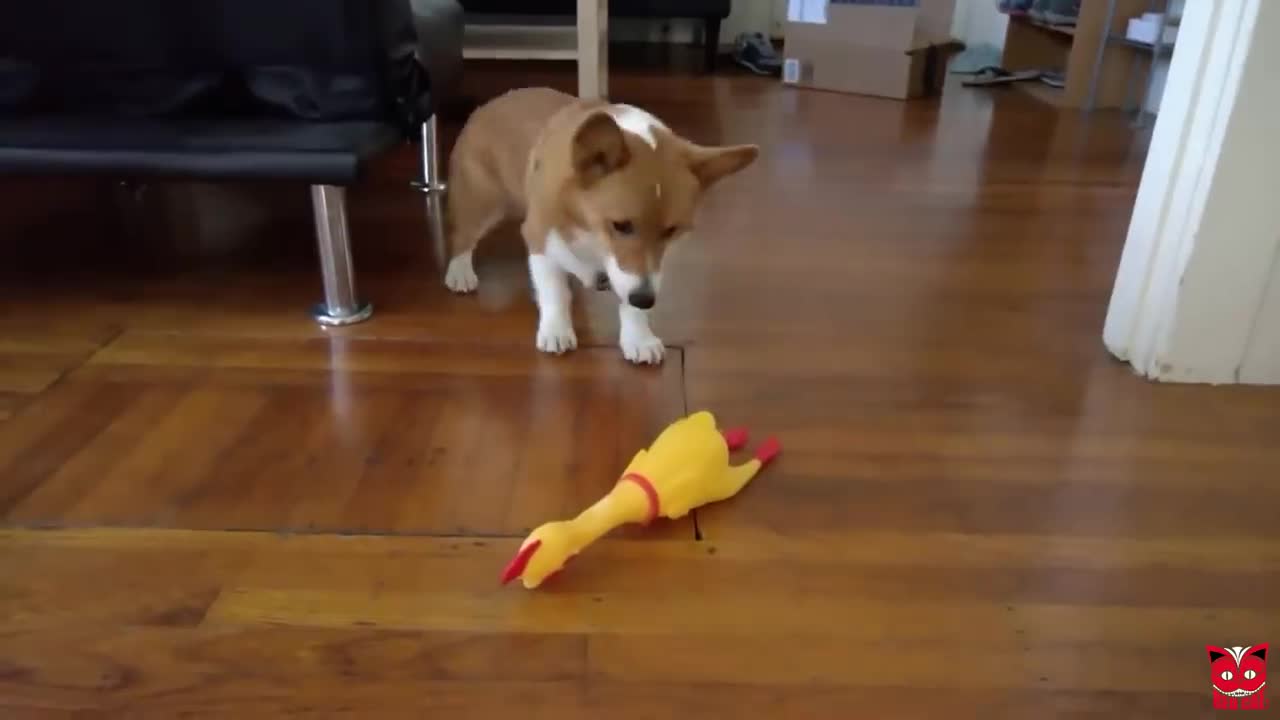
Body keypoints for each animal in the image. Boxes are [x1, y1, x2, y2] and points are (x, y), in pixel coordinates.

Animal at [442, 86, 752, 361]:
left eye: (671, 231)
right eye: (621, 225)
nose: (646, 300)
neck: (590, 229)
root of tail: (488, 104)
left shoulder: (635, 273)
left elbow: (629, 301)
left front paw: (639, 338)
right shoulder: (540, 237)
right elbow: (555, 291)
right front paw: (556, 331)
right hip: (483, 203)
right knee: (463, 236)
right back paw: (460, 272)